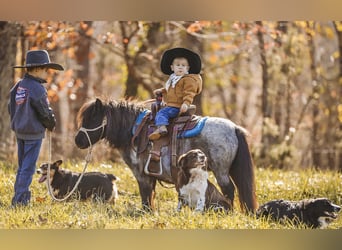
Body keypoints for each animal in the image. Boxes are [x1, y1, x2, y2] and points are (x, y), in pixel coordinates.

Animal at [75, 98, 256, 212]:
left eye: (92, 119)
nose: (78, 141)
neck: (135, 131)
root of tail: (234, 128)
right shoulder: (151, 176)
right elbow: (150, 196)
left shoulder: (141, 175)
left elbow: (145, 196)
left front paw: (146, 213)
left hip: (221, 171)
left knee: (228, 190)